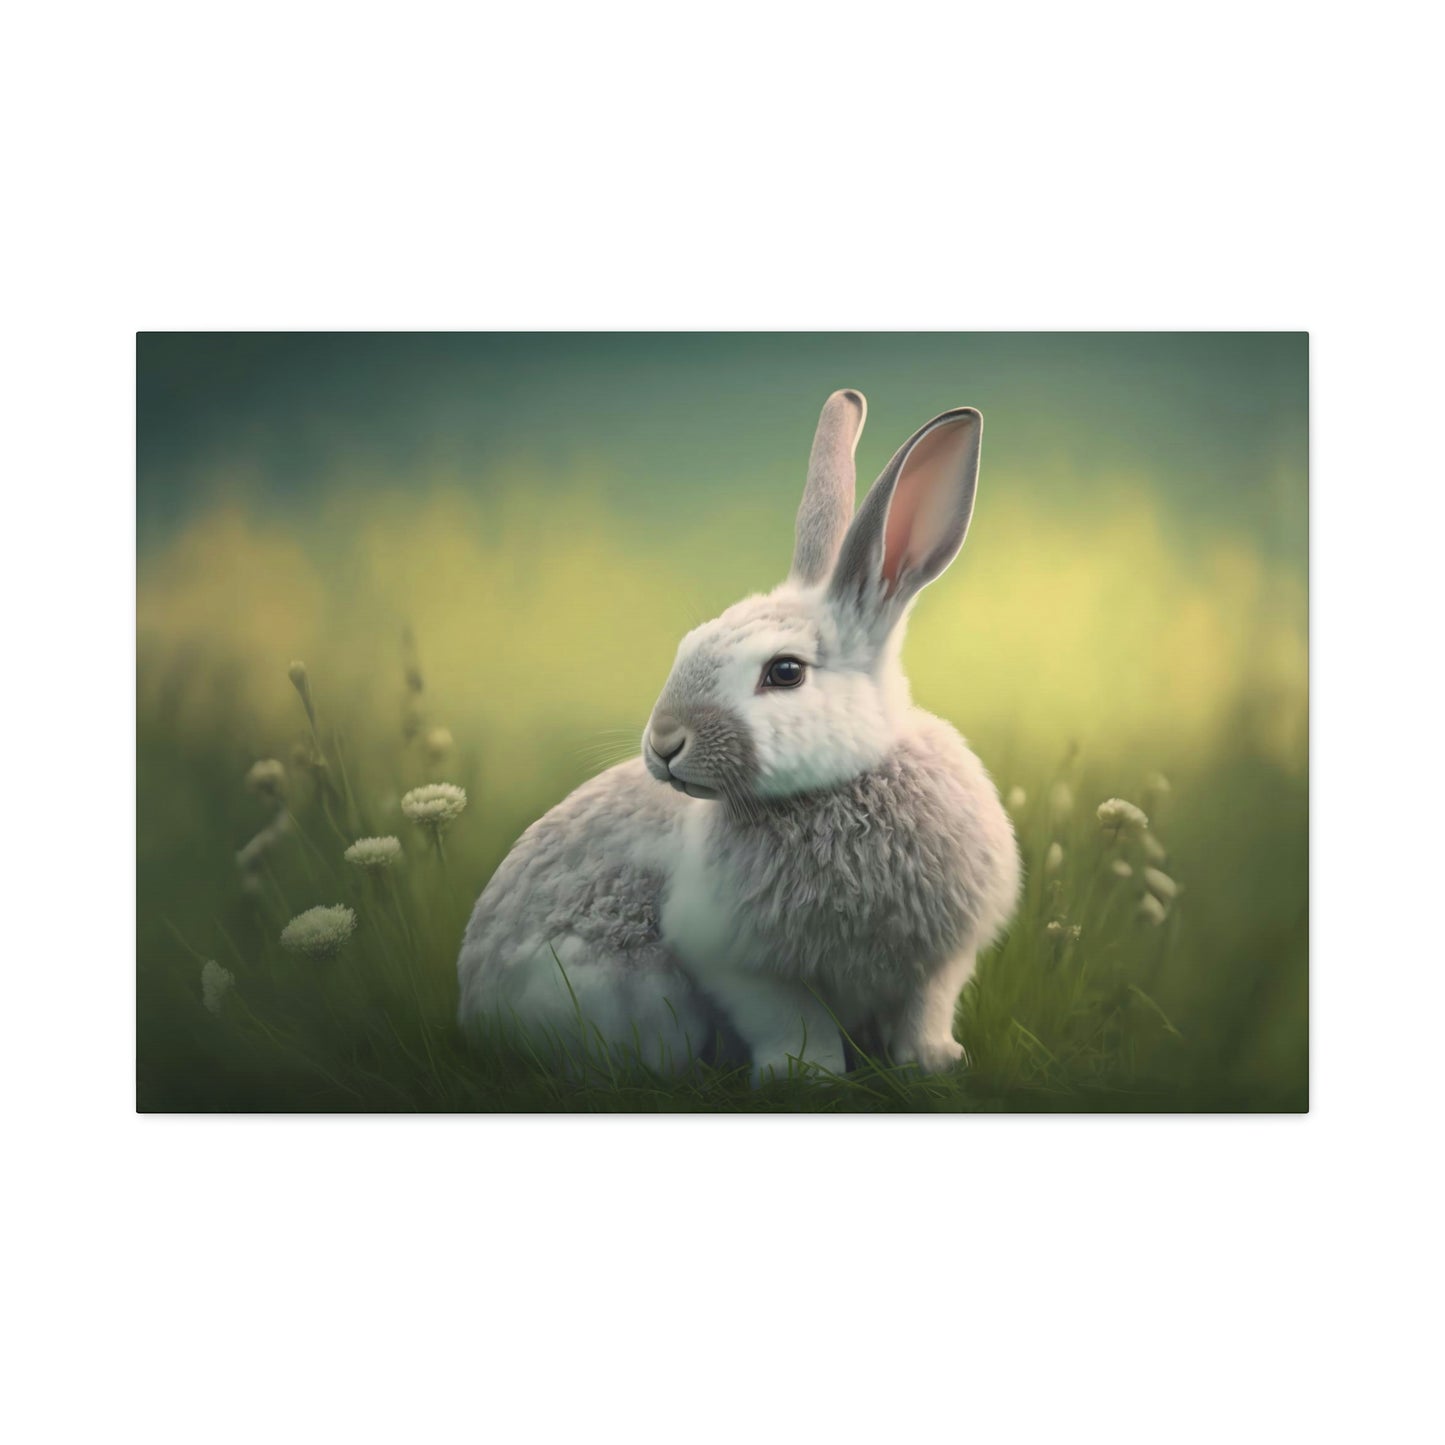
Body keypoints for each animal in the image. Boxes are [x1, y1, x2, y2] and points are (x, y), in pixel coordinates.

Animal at [457, 389, 1021, 1082]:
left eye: (786, 672)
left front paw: (934, 1061)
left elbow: (923, 1014)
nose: (665, 743)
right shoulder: (744, 966)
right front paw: (807, 1075)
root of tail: (473, 1012)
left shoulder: (935, 965)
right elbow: (790, 1022)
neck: (843, 787)